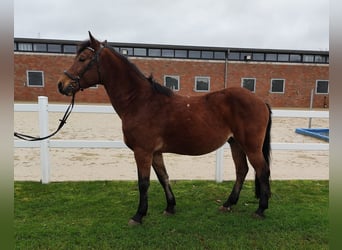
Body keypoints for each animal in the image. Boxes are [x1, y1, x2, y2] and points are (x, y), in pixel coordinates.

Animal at [58, 31, 272, 225]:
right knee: (242, 170)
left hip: (251, 146)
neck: (141, 102)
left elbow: (143, 183)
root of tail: (260, 101)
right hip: (235, 143)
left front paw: (139, 215)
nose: (62, 84)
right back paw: (228, 204)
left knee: (262, 171)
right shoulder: (155, 152)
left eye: (82, 58)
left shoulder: (142, 151)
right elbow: (163, 177)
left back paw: (261, 209)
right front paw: (170, 207)